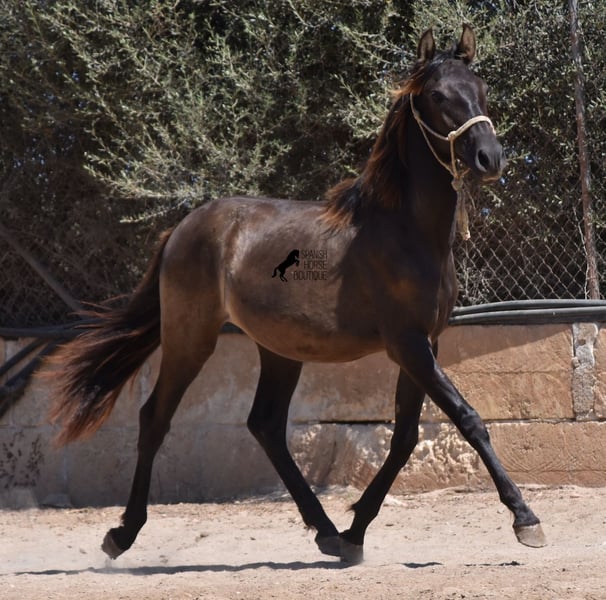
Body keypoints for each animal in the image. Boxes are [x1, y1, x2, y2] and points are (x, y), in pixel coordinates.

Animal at [48, 25, 546, 564]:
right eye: (436, 95)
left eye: (481, 87)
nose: (490, 158)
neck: (405, 232)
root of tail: (183, 227)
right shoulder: (407, 344)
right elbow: (467, 420)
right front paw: (526, 519)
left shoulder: (425, 343)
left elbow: (405, 438)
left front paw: (355, 533)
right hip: (189, 338)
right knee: (155, 417)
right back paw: (122, 534)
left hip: (279, 350)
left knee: (265, 425)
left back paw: (326, 530)